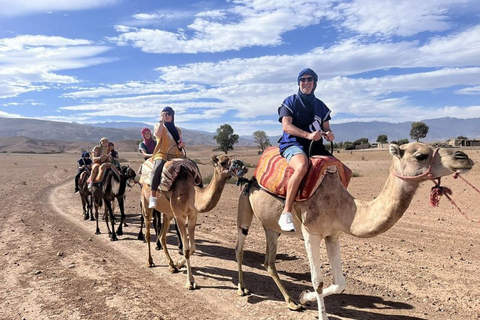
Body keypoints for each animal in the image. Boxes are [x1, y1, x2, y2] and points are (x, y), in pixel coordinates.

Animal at [140, 155, 246, 290]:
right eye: (222, 162)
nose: (242, 167)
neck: (191, 193)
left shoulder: (192, 216)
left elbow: (193, 247)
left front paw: (178, 264)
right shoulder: (179, 216)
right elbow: (186, 249)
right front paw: (190, 282)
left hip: (168, 214)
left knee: (162, 236)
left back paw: (171, 265)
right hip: (146, 203)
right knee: (148, 232)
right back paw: (150, 261)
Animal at [235, 142, 472, 320]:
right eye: (421, 155)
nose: (464, 157)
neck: (343, 206)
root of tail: (252, 176)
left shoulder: (333, 234)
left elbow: (340, 283)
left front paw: (303, 296)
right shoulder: (311, 233)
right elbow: (318, 281)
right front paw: (319, 311)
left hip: (271, 227)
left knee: (269, 261)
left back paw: (292, 302)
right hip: (245, 204)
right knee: (240, 247)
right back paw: (242, 289)